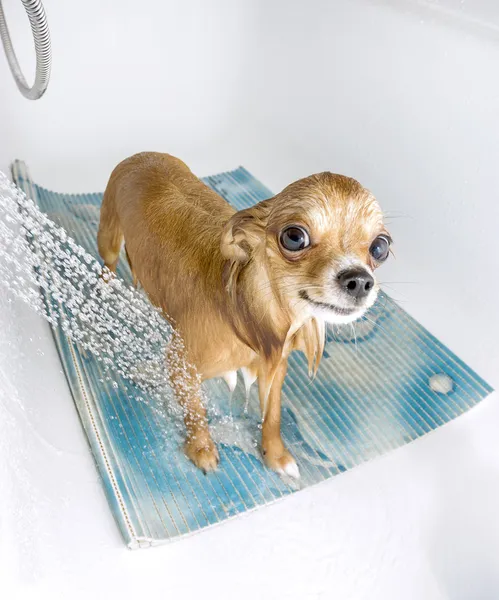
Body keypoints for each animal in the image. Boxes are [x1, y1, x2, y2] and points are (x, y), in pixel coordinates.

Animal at [97, 154, 390, 478]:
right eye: (294, 237)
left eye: (380, 247)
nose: (360, 280)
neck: (247, 314)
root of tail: (141, 155)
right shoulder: (182, 365)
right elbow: (196, 411)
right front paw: (201, 448)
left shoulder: (275, 366)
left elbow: (272, 414)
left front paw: (276, 454)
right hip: (109, 239)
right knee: (108, 264)